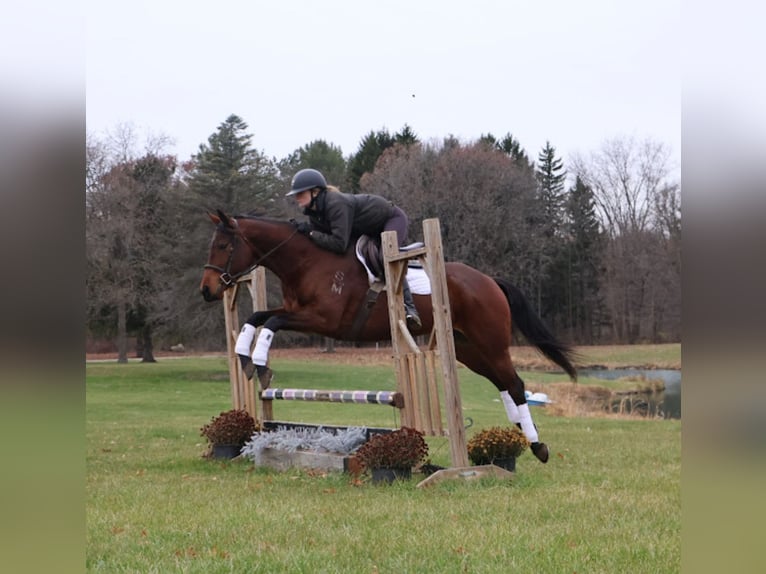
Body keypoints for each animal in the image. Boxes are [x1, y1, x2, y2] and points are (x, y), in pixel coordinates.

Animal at [199, 209, 578, 463]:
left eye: (223, 246)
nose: (207, 290)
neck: (307, 262)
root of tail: (488, 280)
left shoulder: (324, 321)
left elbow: (273, 323)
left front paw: (260, 364)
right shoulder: (300, 314)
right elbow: (258, 317)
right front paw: (244, 356)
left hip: (490, 342)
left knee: (514, 383)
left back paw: (537, 446)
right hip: (468, 349)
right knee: (503, 384)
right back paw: (519, 437)